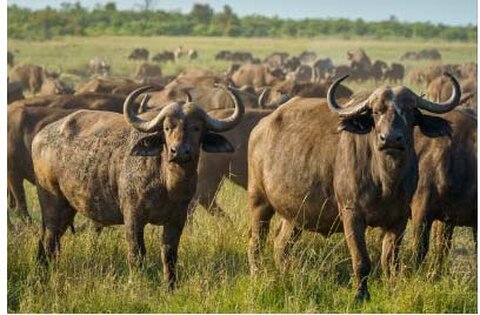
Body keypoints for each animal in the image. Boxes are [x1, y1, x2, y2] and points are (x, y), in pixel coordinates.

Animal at [248, 73, 462, 302]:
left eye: (410, 111)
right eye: (376, 111)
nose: (390, 139)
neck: (385, 180)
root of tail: (260, 127)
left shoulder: (399, 219)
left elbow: (390, 262)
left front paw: (392, 290)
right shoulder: (352, 214)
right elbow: (362, 260)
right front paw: (361, 294)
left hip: (295, 215)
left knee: (281, 245)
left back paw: (285, 275)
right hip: (259, 201)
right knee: (255, 241)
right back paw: (258, 274)